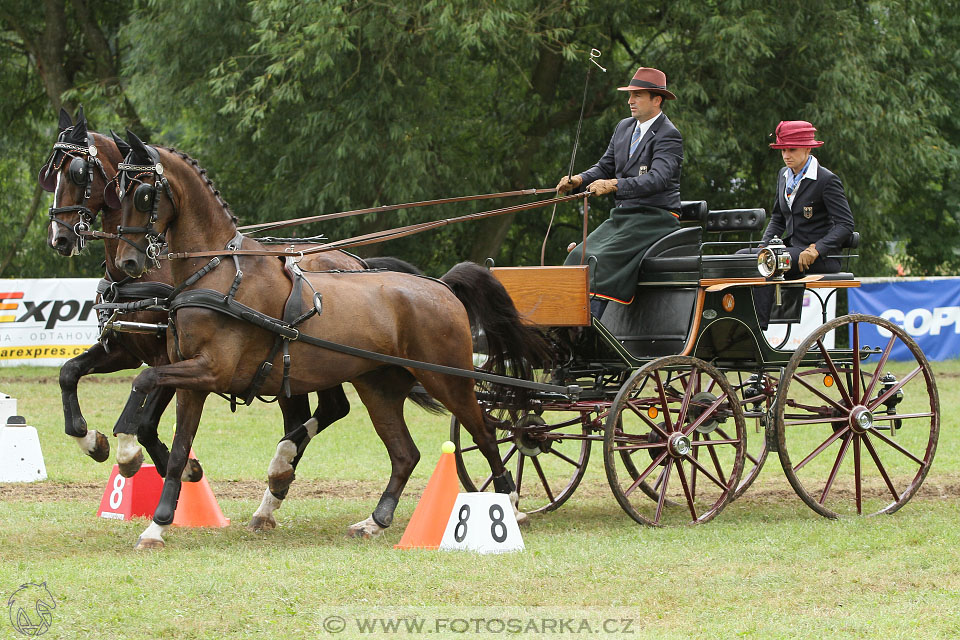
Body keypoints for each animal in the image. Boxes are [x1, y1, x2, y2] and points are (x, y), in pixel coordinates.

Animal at [39, 110, 432, 516]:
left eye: (78, 173)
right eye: (50, 174)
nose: (60, 238)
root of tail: (356, 262)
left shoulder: (169, 357)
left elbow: (146, 421)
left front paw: (158, 462)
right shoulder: (126, 350)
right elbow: (69, 373)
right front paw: (92, 440)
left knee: (330, 409)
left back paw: (279, 472)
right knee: (321, 411)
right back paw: (275, 488)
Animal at [108, 131, 544, 552]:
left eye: (142, 193)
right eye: (117, 192)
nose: (128, 262)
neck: (218, 273)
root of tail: (442, 287)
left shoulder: (210, 371)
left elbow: (143, 381)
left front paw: (127, 453)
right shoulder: (190, 380)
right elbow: (179, 449)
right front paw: (156, 526)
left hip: (449, 380)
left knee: (485, 436)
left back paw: (510, 506)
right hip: (379, 388)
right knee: (405, 453)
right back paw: (374, 521)